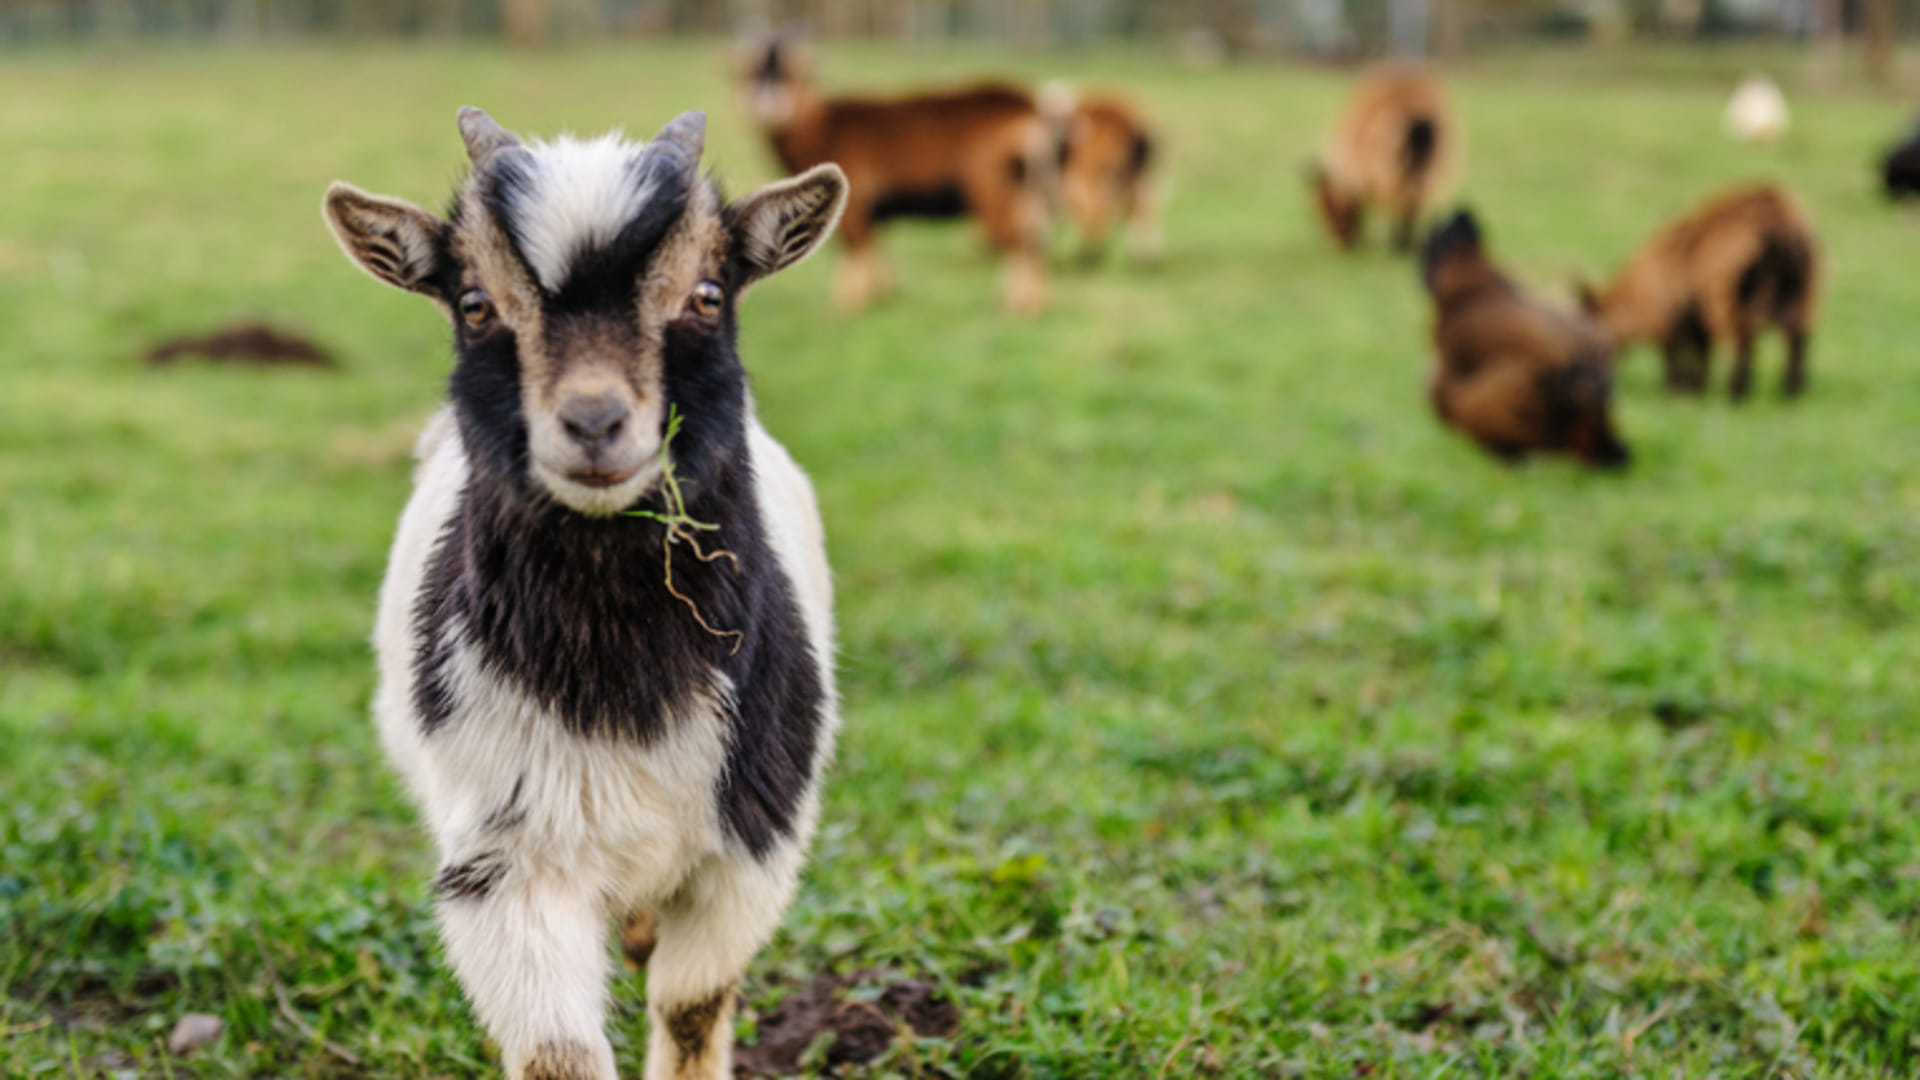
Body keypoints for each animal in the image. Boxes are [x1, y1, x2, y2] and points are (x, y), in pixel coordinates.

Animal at [323, 107, 847, 1080]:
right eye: (475, 304)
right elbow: (558, 1051)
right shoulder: (506, 858)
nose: (595, 421)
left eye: (708, 293)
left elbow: (690, 1005)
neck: (621, 680)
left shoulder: (752, 842)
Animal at [737, 36, 1051, 313]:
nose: (767, 106)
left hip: (992, 188)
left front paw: (847, 307)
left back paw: (1019, 308)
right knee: (1032, 241)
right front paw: (881, 296)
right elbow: (875, 253)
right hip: (1025, 189)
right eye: (754, 74)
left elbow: (855, 250)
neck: (826, 125)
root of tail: (1028, 106)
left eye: (790, 76)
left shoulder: (855, 204)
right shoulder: (874, 212)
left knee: (1020, 243)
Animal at [1311, 63, 1460, 253]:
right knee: (1417, 201)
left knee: (1403, 201)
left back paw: (1400, 244)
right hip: (1432, 169)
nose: (1343, 244)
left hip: (1394, 170)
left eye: (1328, 207)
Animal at [1579, 183, 1819, 401]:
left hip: (1732, 292)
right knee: (1796, 335)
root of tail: (1779, 224)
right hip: (1800, 285)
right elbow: (1702, 351)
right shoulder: (1693, 317)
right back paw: (1791, 391)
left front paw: (1675, 390)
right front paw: (1696, 388)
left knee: (1744, 338)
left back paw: (1736, 394)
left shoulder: (1668, 315)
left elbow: (1675, 354)